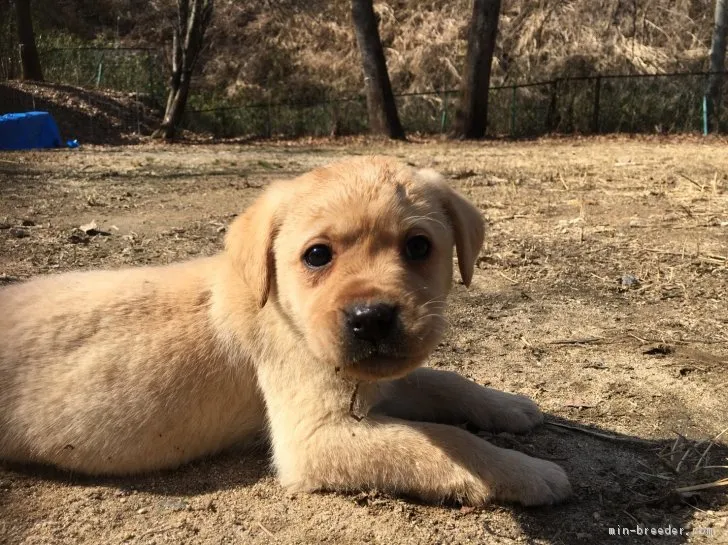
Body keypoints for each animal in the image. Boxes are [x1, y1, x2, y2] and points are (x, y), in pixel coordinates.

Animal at [0, 155, 568, 504]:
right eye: (317, 255)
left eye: (418, 247)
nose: (372, 318)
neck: (287, 315)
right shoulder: (314, 440)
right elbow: (442, 442)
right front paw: (527, 473)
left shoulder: (381, 382)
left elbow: (444, 382)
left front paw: (507, 406)